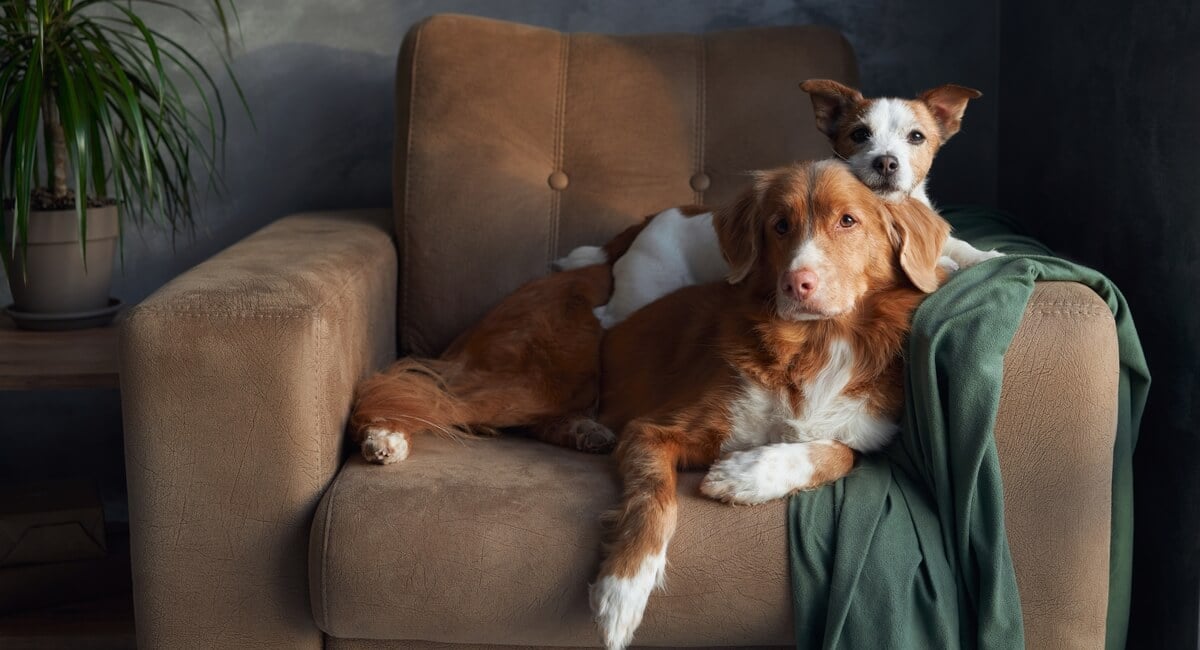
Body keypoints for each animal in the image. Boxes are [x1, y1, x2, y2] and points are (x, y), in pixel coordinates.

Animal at [561, 80, 1003, 330]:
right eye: (860, 135)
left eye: (916, 137)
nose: (886, 161)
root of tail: (648, 222)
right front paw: (945, 264)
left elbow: (960, 246)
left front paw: (982, 256)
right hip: (643, 291)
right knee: (606, 317)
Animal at [588, 160, 945, 650]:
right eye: (780, 225)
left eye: (847, 220)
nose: (797, 283)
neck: (814, 345)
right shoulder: (651, 430)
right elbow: (653, 497)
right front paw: (622, 589)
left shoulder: (870, 435)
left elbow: (840, 454)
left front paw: (747, 474)